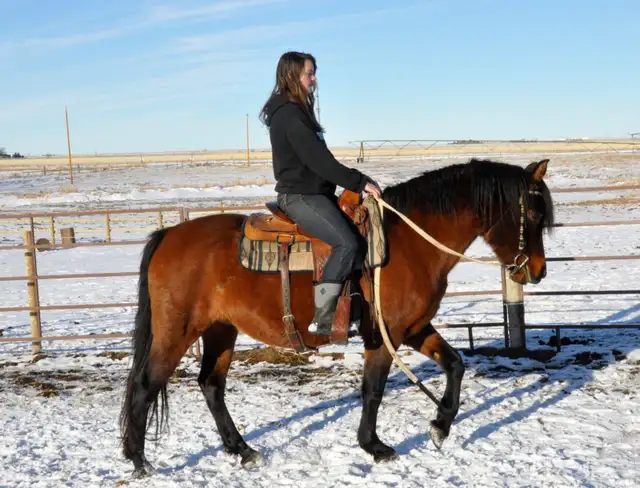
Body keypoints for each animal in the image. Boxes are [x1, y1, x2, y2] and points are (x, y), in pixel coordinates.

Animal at [119, 157, 555, 477]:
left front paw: (440, 425)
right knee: (145, 385)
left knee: (211, 385)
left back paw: (242, 450)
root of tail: (168, 236)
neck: (410, 244)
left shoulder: (414, 329)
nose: (537, 271)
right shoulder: (386, 334)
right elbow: (373, 390)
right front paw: (374, 446)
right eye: (534, 217)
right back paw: (140, 461)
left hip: (220, 331)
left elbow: (455, 364)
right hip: (177, 331)